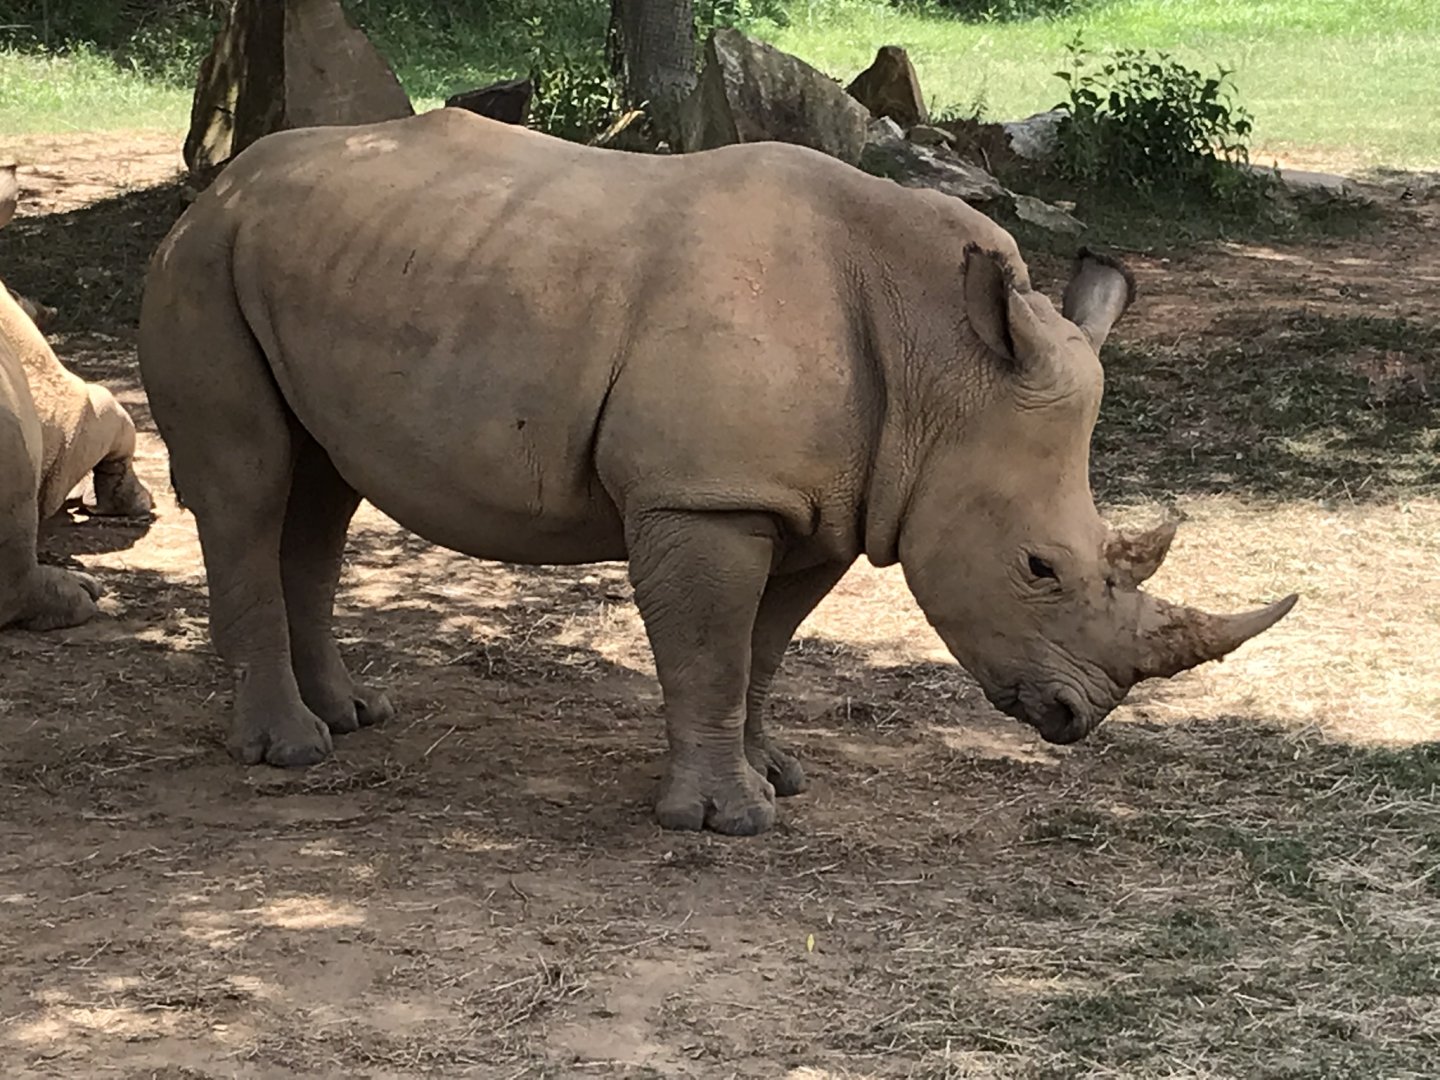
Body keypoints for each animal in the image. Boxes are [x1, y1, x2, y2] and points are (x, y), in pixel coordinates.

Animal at [138, 111, 1295, 834]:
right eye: (1039, 569)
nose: (1077, 719)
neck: (944, 364)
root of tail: (221, 184)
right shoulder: (708, 496)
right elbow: (708, 648)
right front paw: (724, 820)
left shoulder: (826, 501)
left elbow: (763, 650)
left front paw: (778, 776)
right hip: (203, 265)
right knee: (251, 486)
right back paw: (291, 754)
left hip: (314, 259)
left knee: (322, 494)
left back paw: (352, 717)